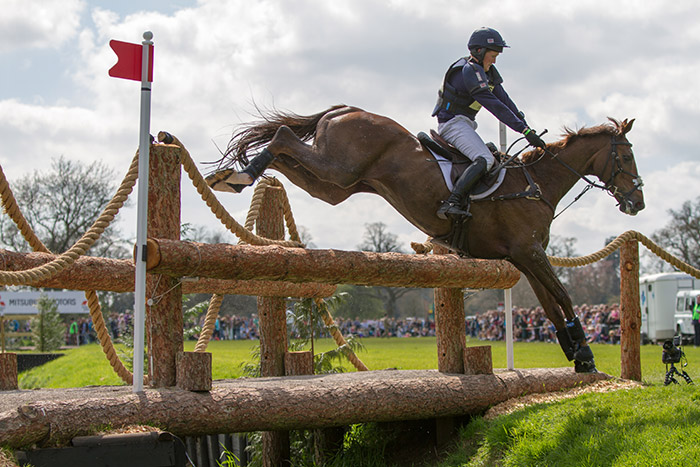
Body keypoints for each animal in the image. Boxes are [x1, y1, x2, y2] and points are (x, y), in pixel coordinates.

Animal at [206, 105, 645, 372]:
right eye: (626, 156)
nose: (637, 201)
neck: (535, 184)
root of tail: (344, 109)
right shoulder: (530, 252)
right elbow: (564, 297)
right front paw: (585, 351)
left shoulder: (524, 257)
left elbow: (552, 306)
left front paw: (577, 354)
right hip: (339, 169)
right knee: (282, 136)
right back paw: (239, 174)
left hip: (336, 185)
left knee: (285, 154)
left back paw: (238, 175)